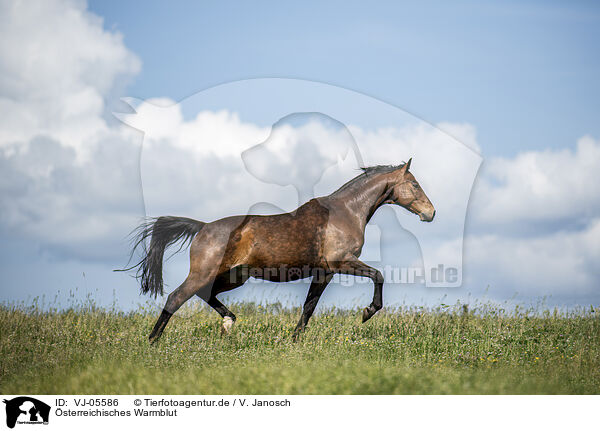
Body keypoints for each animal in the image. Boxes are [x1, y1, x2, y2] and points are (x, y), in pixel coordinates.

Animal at [127, 159, 436, 344]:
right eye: (415, 184)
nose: (431, 213)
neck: (346, 212)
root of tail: (202, 227)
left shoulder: (324, 272)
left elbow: (309, 307)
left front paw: (294, 340)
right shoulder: (342, 262)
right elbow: (378, 275)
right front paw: (367, 312)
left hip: (234, 276)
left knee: (206, 295)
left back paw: (229, 322)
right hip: (205, 272)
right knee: (176, 298)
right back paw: (153, 341)